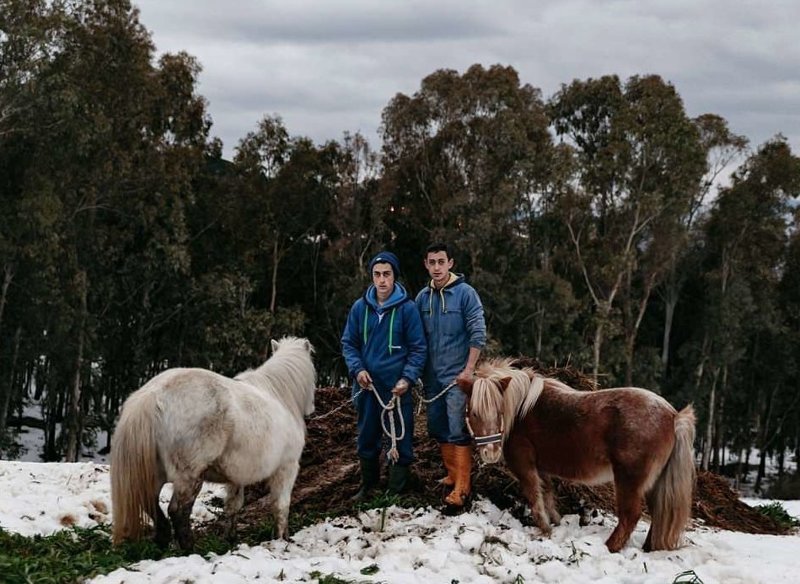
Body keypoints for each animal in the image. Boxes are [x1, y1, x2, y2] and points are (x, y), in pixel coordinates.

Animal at [111, 336, 316, 548]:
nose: (312, 408)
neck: (279, 396)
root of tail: (155, 394)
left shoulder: (237, 477)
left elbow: (233, 506)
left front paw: (231, 539)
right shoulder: (287, 468)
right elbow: (281, 506)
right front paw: (282, 539)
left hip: (156, 473)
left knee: (149, 503)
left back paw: (163, 541)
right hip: (189, 477)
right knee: (178, 511)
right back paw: (189, 548)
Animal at [460, 358, 696, 556]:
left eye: (499, 411)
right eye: (474, 412)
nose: (490, 452)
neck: (520, 411)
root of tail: (673, 416)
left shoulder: (525, 465)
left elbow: (535, 497)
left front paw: (544, 530)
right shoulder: (542, 467)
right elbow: (547, 496)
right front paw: (555, 525)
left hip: (629, 480)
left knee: (631, 516)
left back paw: (609, 548)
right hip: (654, 483)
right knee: (658, 514)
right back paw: (648, 548)